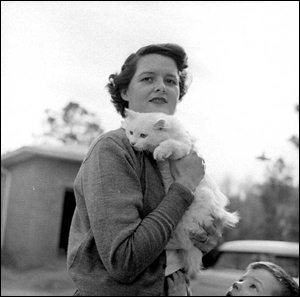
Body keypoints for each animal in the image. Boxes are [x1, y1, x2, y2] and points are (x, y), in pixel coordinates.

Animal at [122, 108, 239, 278]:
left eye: (143, 135)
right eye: (131, 132)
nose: (132, 143)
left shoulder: (183, 148)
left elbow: (170, 144)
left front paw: (160, 151)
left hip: (192, 214)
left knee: (181, 241)